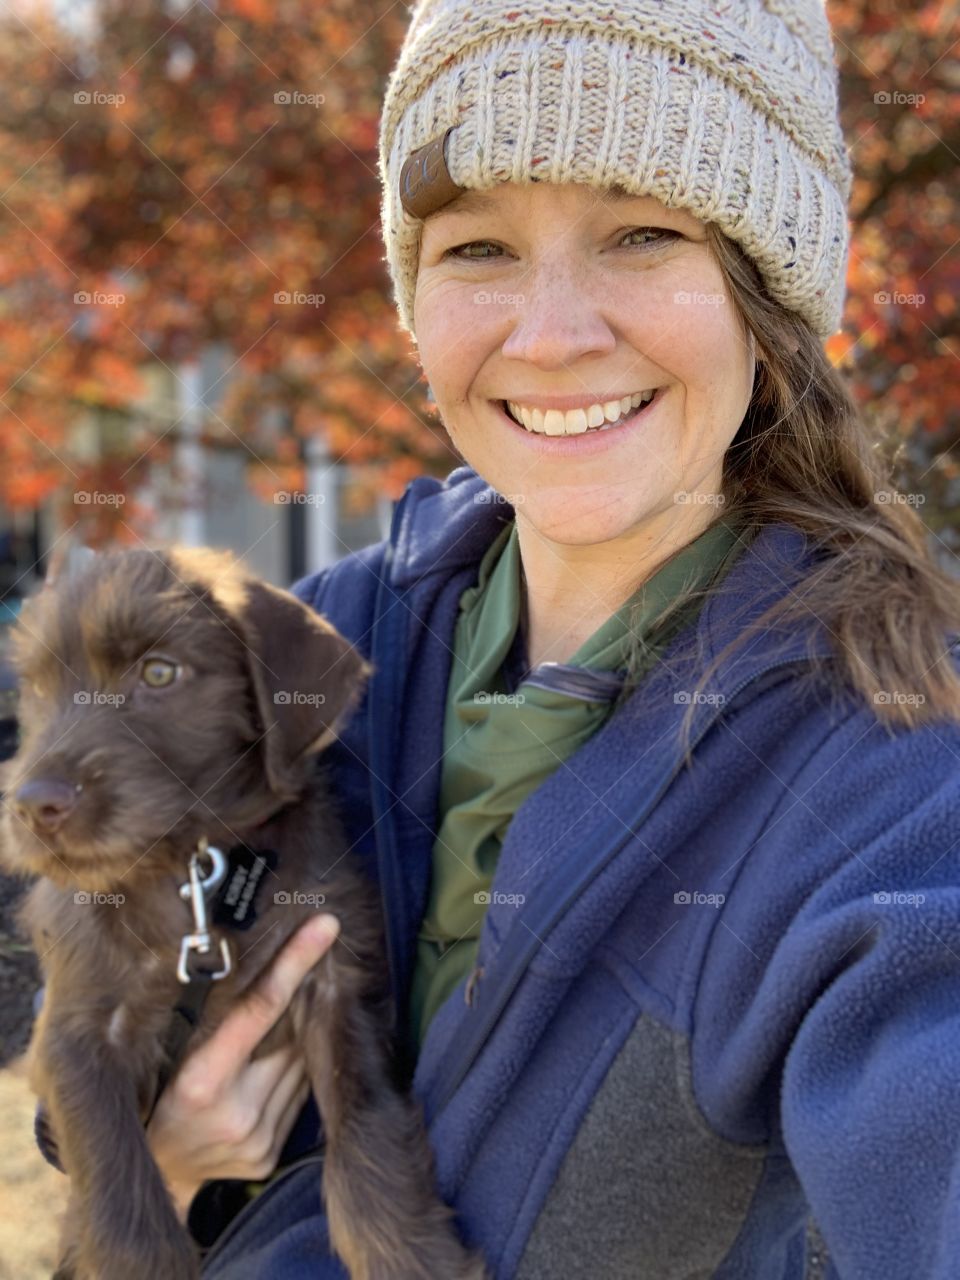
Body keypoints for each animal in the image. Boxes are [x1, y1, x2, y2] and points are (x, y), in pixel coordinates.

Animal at [0, 547, 488, 1280]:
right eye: (33, 687)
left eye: (159, 672)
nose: (34, 805)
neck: (195, 871)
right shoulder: (73, 1032)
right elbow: (117, 1180)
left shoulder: (338, 977)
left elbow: (365, 1121)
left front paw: (409, 1253)